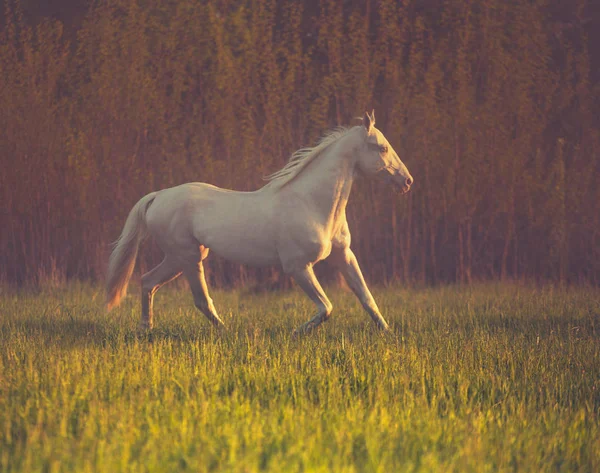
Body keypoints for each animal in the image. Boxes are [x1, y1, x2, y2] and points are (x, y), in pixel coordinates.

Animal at [105, 110, 412, 332]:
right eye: (381, 148)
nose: (407, 181)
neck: (313, 203)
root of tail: (158, 196)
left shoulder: (343, 254)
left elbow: (366, 297)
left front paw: (387, 333)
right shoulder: (298, 266)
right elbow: (326, 307)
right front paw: (297, 333)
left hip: (183, 257)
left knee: (148, 281)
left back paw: (146, 330)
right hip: (187, 257)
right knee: (200, 300)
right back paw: (225, 333)